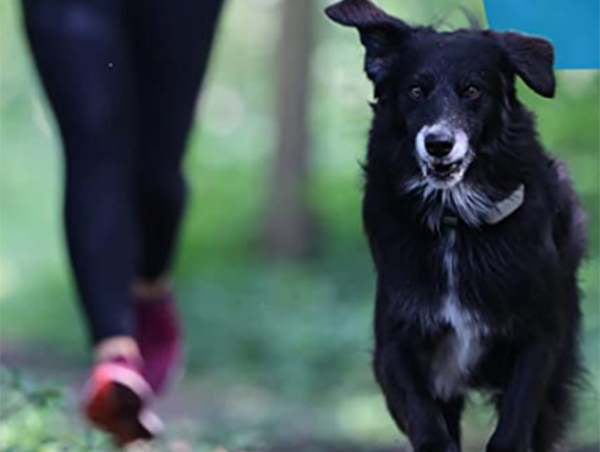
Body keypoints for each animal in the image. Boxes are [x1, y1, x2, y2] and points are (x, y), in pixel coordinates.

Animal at [324, 0, 584, 452]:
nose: (438, 144)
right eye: (415, 91)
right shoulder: (396, 344)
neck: (454, 221)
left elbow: (513, 427)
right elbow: (427, 423)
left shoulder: (540, 339)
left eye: (472, 90)